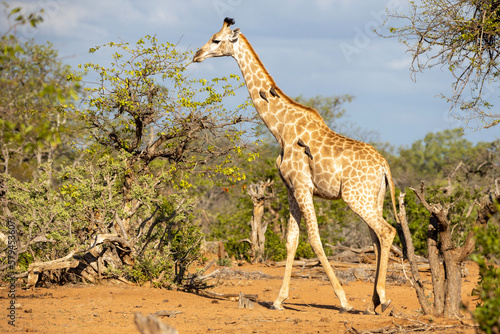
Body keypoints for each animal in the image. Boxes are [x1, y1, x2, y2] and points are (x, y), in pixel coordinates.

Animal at [193, 17, 400, 314]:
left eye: (216, 40)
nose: (196, 55)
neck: (280, 129)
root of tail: (384, 166)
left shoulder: (303, 186)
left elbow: (314, 238)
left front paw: (343, 300)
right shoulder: (291, 188)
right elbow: (292, 240)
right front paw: (279, 300)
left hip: (355, 196)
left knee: (386, 230)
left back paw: (382, 298)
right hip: (375, 197)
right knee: (376, 237)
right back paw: (374, 300)